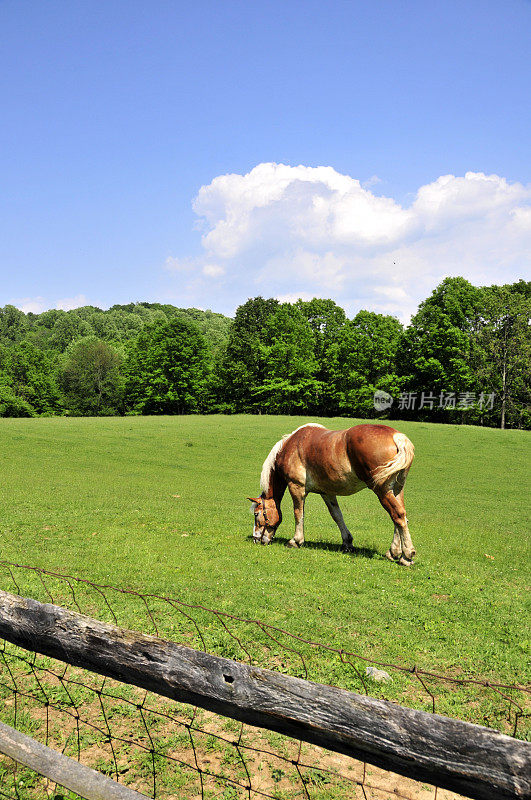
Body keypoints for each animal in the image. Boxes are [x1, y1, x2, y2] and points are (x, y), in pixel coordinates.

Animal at [247, 422, 418, 564]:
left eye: (257, 514)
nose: (256, 539)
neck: (293, 445)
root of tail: (397, 436)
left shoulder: (296, 487)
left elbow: (298, 513)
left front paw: (296, 541)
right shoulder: (327, 493)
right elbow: (337, 516)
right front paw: (347, 542)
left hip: (382, 490)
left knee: (398, 515)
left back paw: (406, 556)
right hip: (396, 490)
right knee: (400, 517)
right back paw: (393, 552)